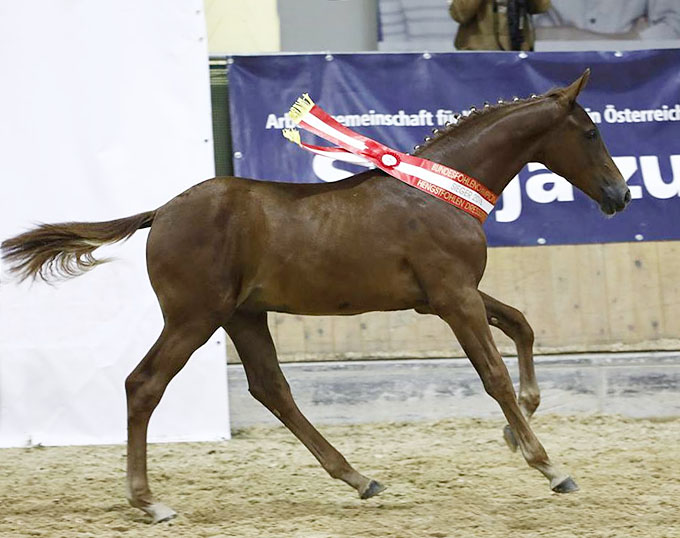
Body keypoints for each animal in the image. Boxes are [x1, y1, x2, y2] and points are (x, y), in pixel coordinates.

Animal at [0, 69, 628, 520]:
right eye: (590, 132)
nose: (620, 194)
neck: (436, 191)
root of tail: (163, 211)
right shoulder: (453, 298)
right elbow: (493, 373)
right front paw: (548, 465)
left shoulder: (446, 295)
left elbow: (521, 323)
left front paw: (514, 430)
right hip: (194, 317)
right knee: (145, 384)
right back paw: (149, 501)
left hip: (243, 315)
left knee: (271, 389)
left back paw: (359, 478)